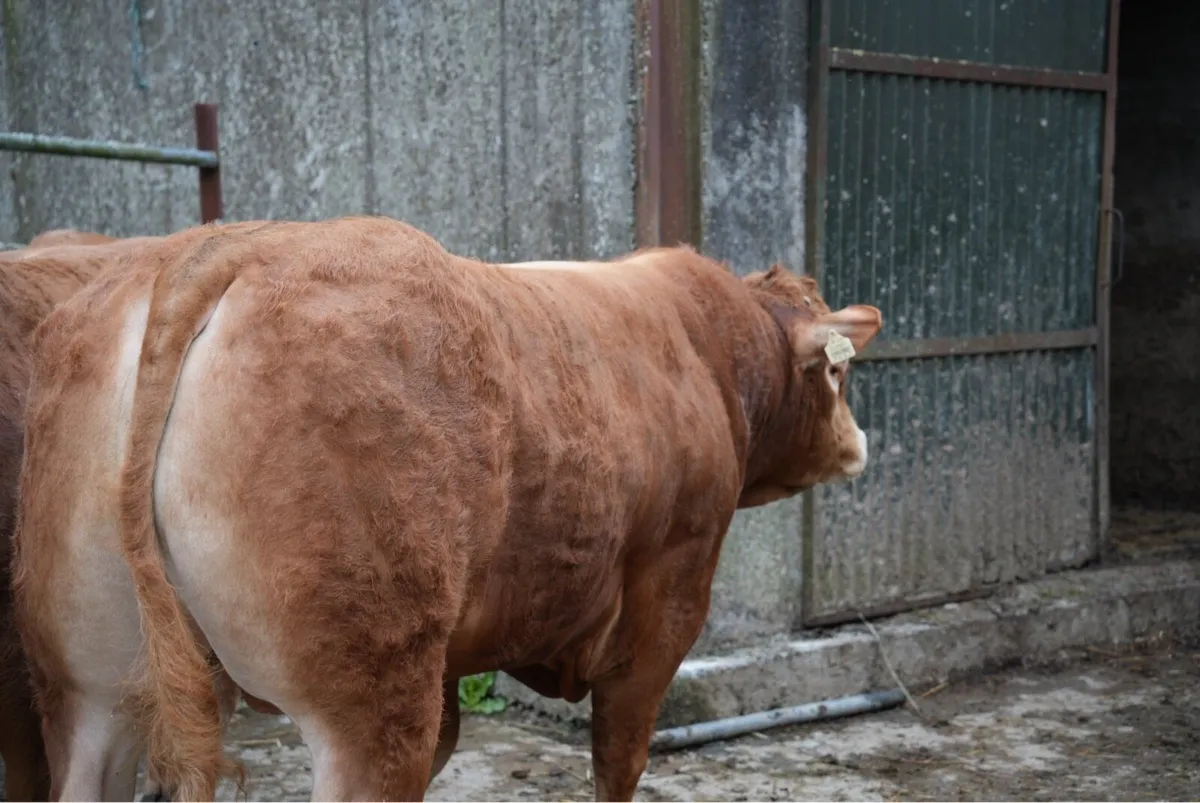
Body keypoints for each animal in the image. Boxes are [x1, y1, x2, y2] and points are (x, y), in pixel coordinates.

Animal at [13, 216, 881, 801]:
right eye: (838, 374)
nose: (859, 441)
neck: (708, 350)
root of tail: (219, 249)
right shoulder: (664, 611)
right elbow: (618, 759)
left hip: (88, 683)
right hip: (368, 699)